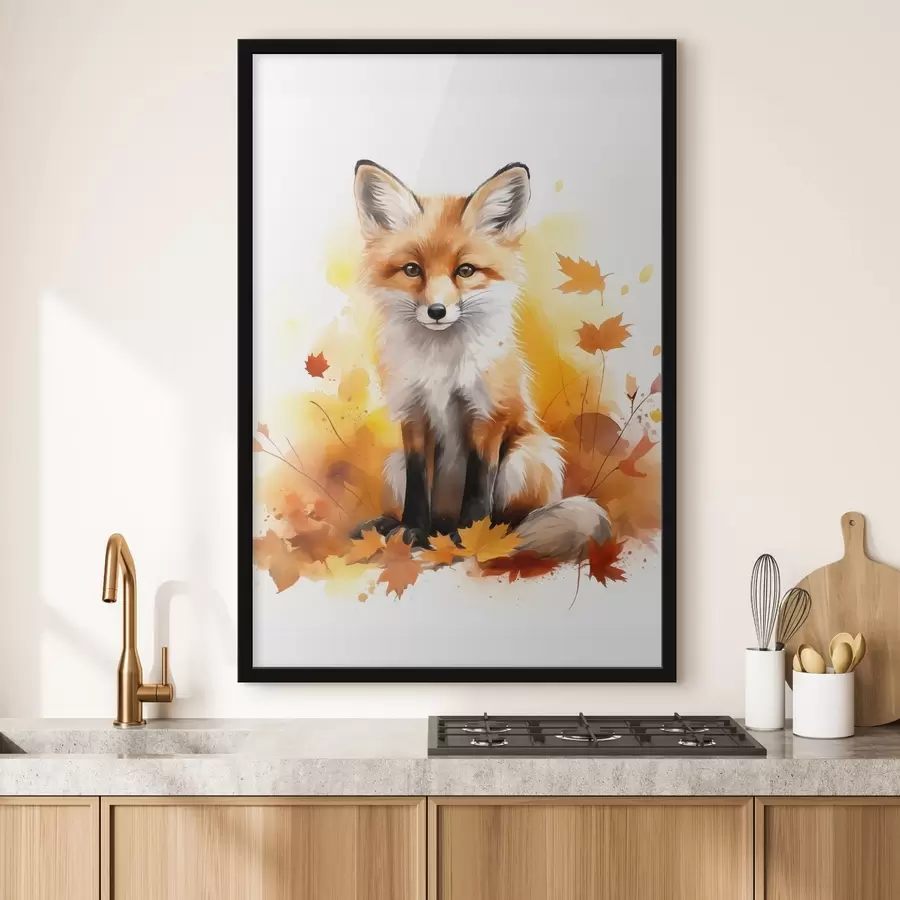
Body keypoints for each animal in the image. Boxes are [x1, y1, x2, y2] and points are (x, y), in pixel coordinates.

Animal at [351, 159, 611, 561]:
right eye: (412, 270)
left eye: (466, 271)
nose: (437, 311)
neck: (441, 366)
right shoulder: (413, 415)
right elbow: (417, 488)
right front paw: (411, 530)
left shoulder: (487, 415)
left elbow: (477, 488)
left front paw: (473, 539)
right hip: (393, 465)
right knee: (426, 511)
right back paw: (403, 528)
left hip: (525, 458)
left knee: (515, 518)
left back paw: (494, 536)